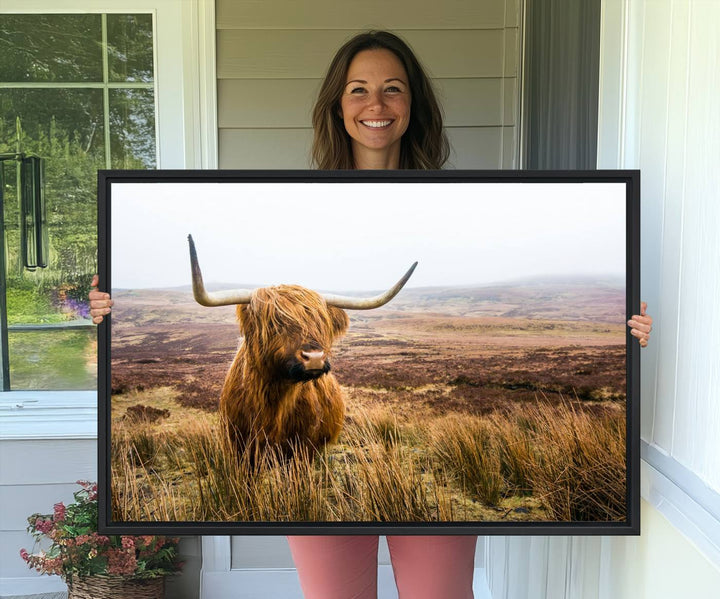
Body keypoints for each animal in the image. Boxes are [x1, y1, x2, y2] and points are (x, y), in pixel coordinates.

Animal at [187, 234, 416, 460]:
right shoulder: (239, 448)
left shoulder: (304, 449)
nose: (314, 357)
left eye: (321, 323)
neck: (273, 402)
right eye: (274, 323)